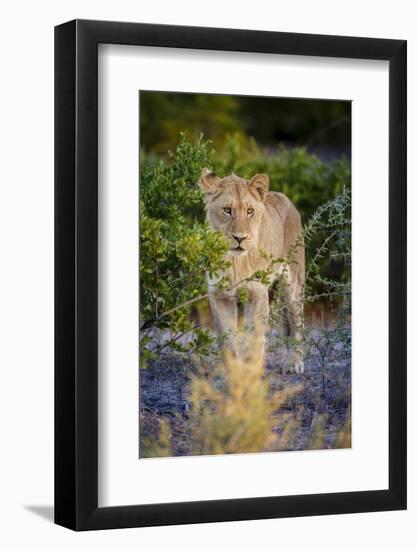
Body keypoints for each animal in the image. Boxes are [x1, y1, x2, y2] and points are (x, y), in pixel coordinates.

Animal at [200, 169, 304, 376]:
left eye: (250, 211)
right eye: (227, 210)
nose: (240, 238)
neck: (234, 261)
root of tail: (287, 199)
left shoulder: (256, 293)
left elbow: (255, 338)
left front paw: (251, 374)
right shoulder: (220, 295)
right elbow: (227, 340)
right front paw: (232, 374)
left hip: (293, 283)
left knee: (297, 322)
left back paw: (294, 362)